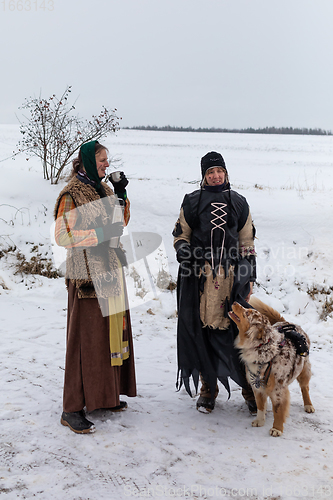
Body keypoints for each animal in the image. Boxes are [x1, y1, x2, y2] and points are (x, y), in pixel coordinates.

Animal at [228, 298, 314, 436]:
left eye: (247, 313)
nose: (235, 302)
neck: (262, 349)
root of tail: (287, 322)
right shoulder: (256, 386)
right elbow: (260, 406)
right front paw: (259, 420)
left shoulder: (278, 388)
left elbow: (278, 410)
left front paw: (277, 428)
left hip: (304, 369)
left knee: (304, 388)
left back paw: (308, 405)